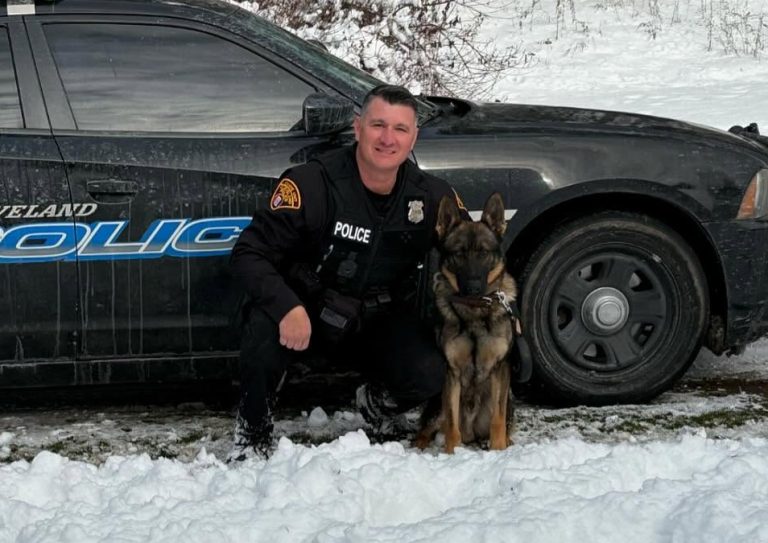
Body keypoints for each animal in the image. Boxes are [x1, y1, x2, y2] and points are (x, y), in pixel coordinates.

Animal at [414, 193, 516, 452]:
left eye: (483, 253)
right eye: (459, 254)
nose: (473, 287)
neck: (474, 313)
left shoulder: (500, 369)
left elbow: (497, 420)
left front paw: (499, 449)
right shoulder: (452, 373)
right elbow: (452, 426)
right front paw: (452, 454)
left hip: (509, 403)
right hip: (436, 408)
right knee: (426, 429)